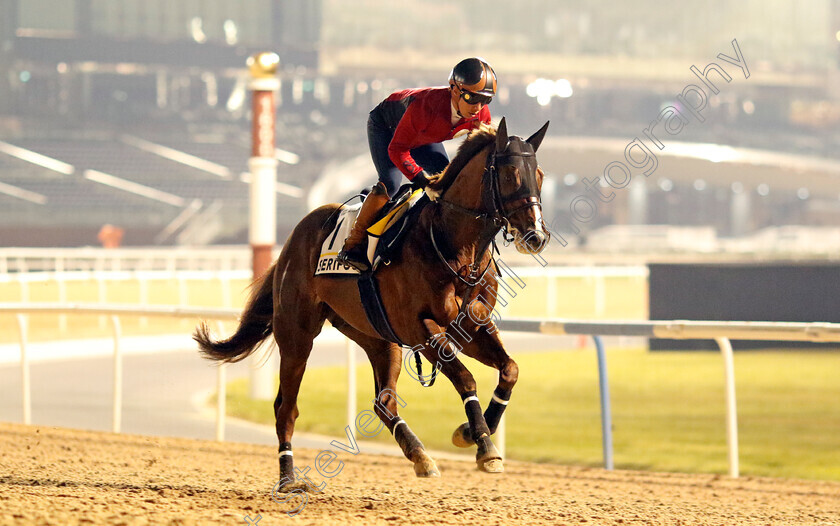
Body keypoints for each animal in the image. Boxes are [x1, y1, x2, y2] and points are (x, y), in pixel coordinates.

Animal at [195, 118, 552, 490]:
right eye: (510, 173)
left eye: (539, 174)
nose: (537, 237)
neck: (454, 246)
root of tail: (293, 240)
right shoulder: (420, 329)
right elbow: (466, 379)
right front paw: (484, 446)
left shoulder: (470, 324)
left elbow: (510, 369)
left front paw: (470, 432)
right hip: (296, 334)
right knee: (285, 407)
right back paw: (289, 478)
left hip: (376, 336)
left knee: (384, 402)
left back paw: (421, 456)